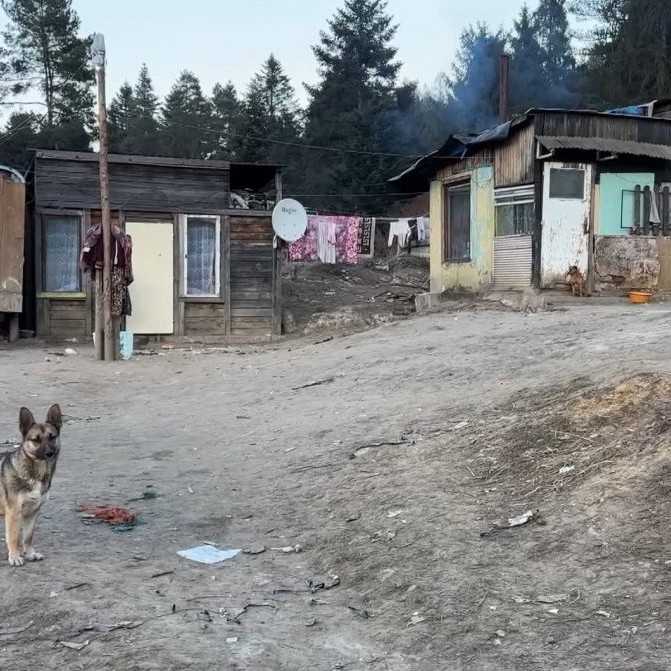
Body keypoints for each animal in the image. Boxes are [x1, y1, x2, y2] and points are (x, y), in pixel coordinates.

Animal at [0, 404, 62, 568]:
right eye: (35, 440)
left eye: (52, 437)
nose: (49, 453)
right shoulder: (13, 513)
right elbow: (14, 537)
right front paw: (15, 556)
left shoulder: (33, 512)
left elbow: (28, 536)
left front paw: (29, 554)